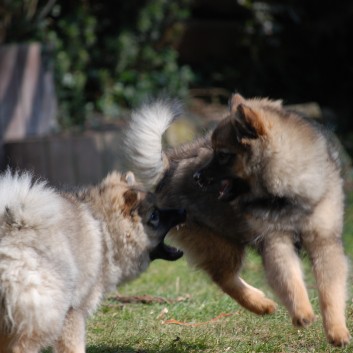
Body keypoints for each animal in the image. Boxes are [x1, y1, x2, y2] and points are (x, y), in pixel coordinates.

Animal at [126, 95, 350, 346]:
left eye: (223, 154)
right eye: (214, 152)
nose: (197, 177)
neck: (285, 195)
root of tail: (167, 169)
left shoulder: (325, 242)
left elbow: (331, 290)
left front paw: (337, 331)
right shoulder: (275, 242)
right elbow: (289, 279)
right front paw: (302, 312)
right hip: (219, 241)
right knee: (223, 277)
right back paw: (261, 304)